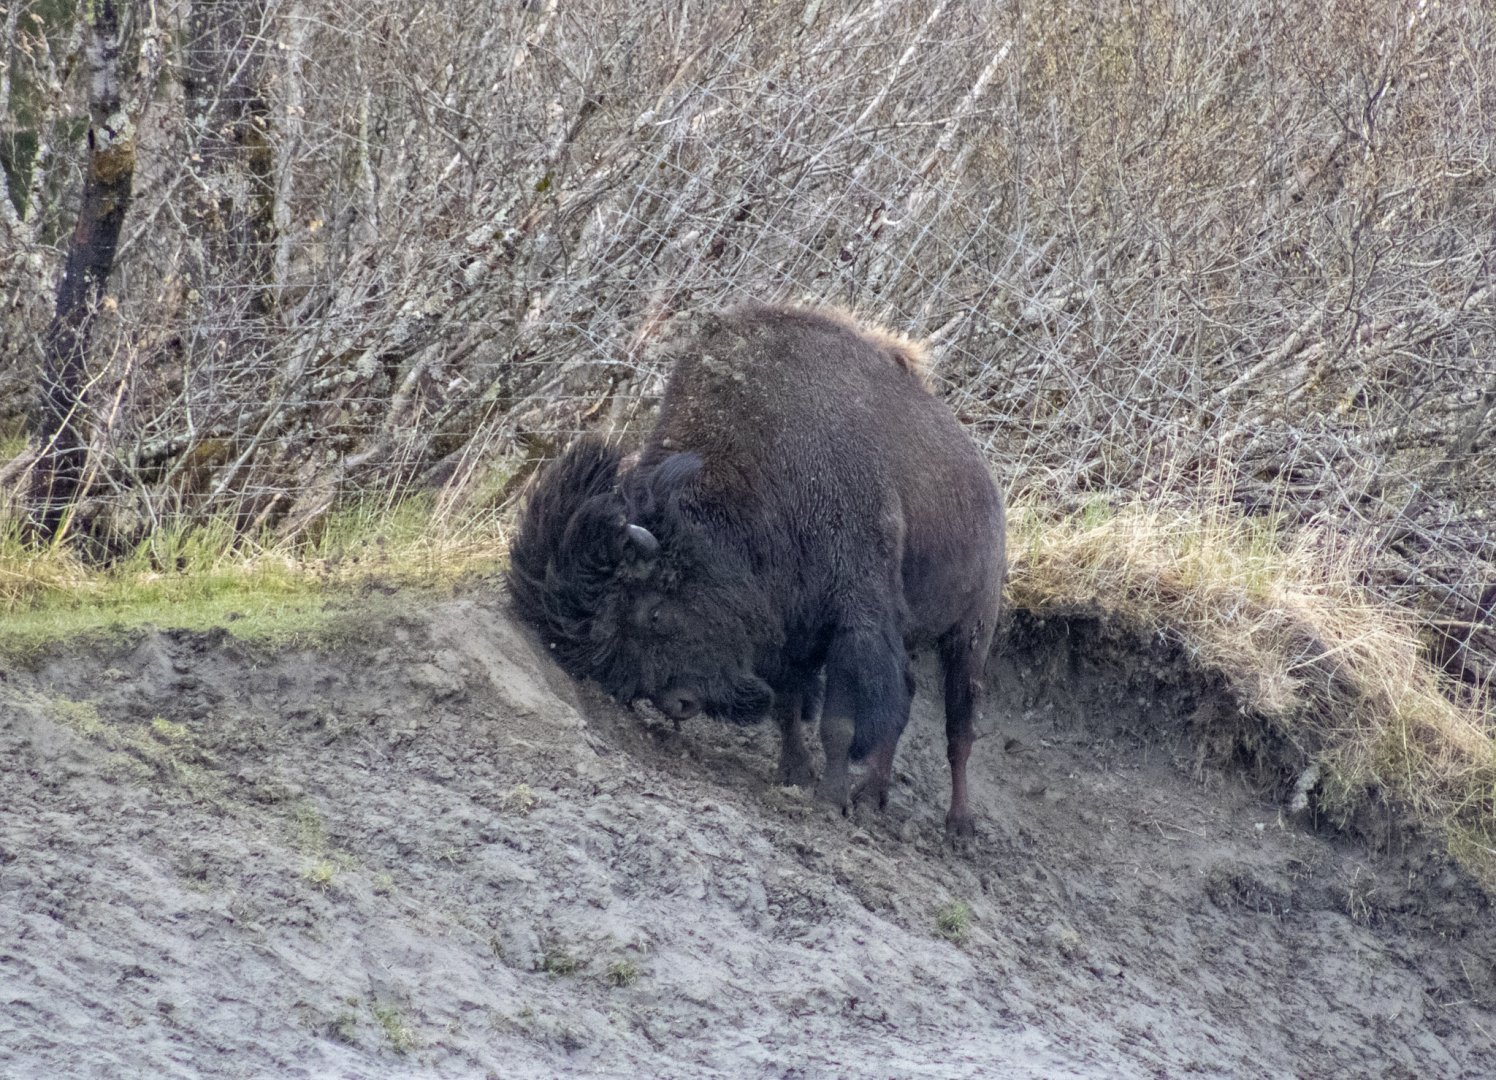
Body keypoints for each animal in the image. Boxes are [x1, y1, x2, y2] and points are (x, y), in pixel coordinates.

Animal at [508, 304, 1006, 836]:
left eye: (655, 614)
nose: (677, 703)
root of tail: (986, 482)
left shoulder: (854, 621)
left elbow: (838, 722)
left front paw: (829, 799)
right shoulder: (793, 630)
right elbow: (790, 707)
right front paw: (795, 775)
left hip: (971, 632)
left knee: (959, 728)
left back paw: (958, 826)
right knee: (906, 699)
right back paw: (873, 794)